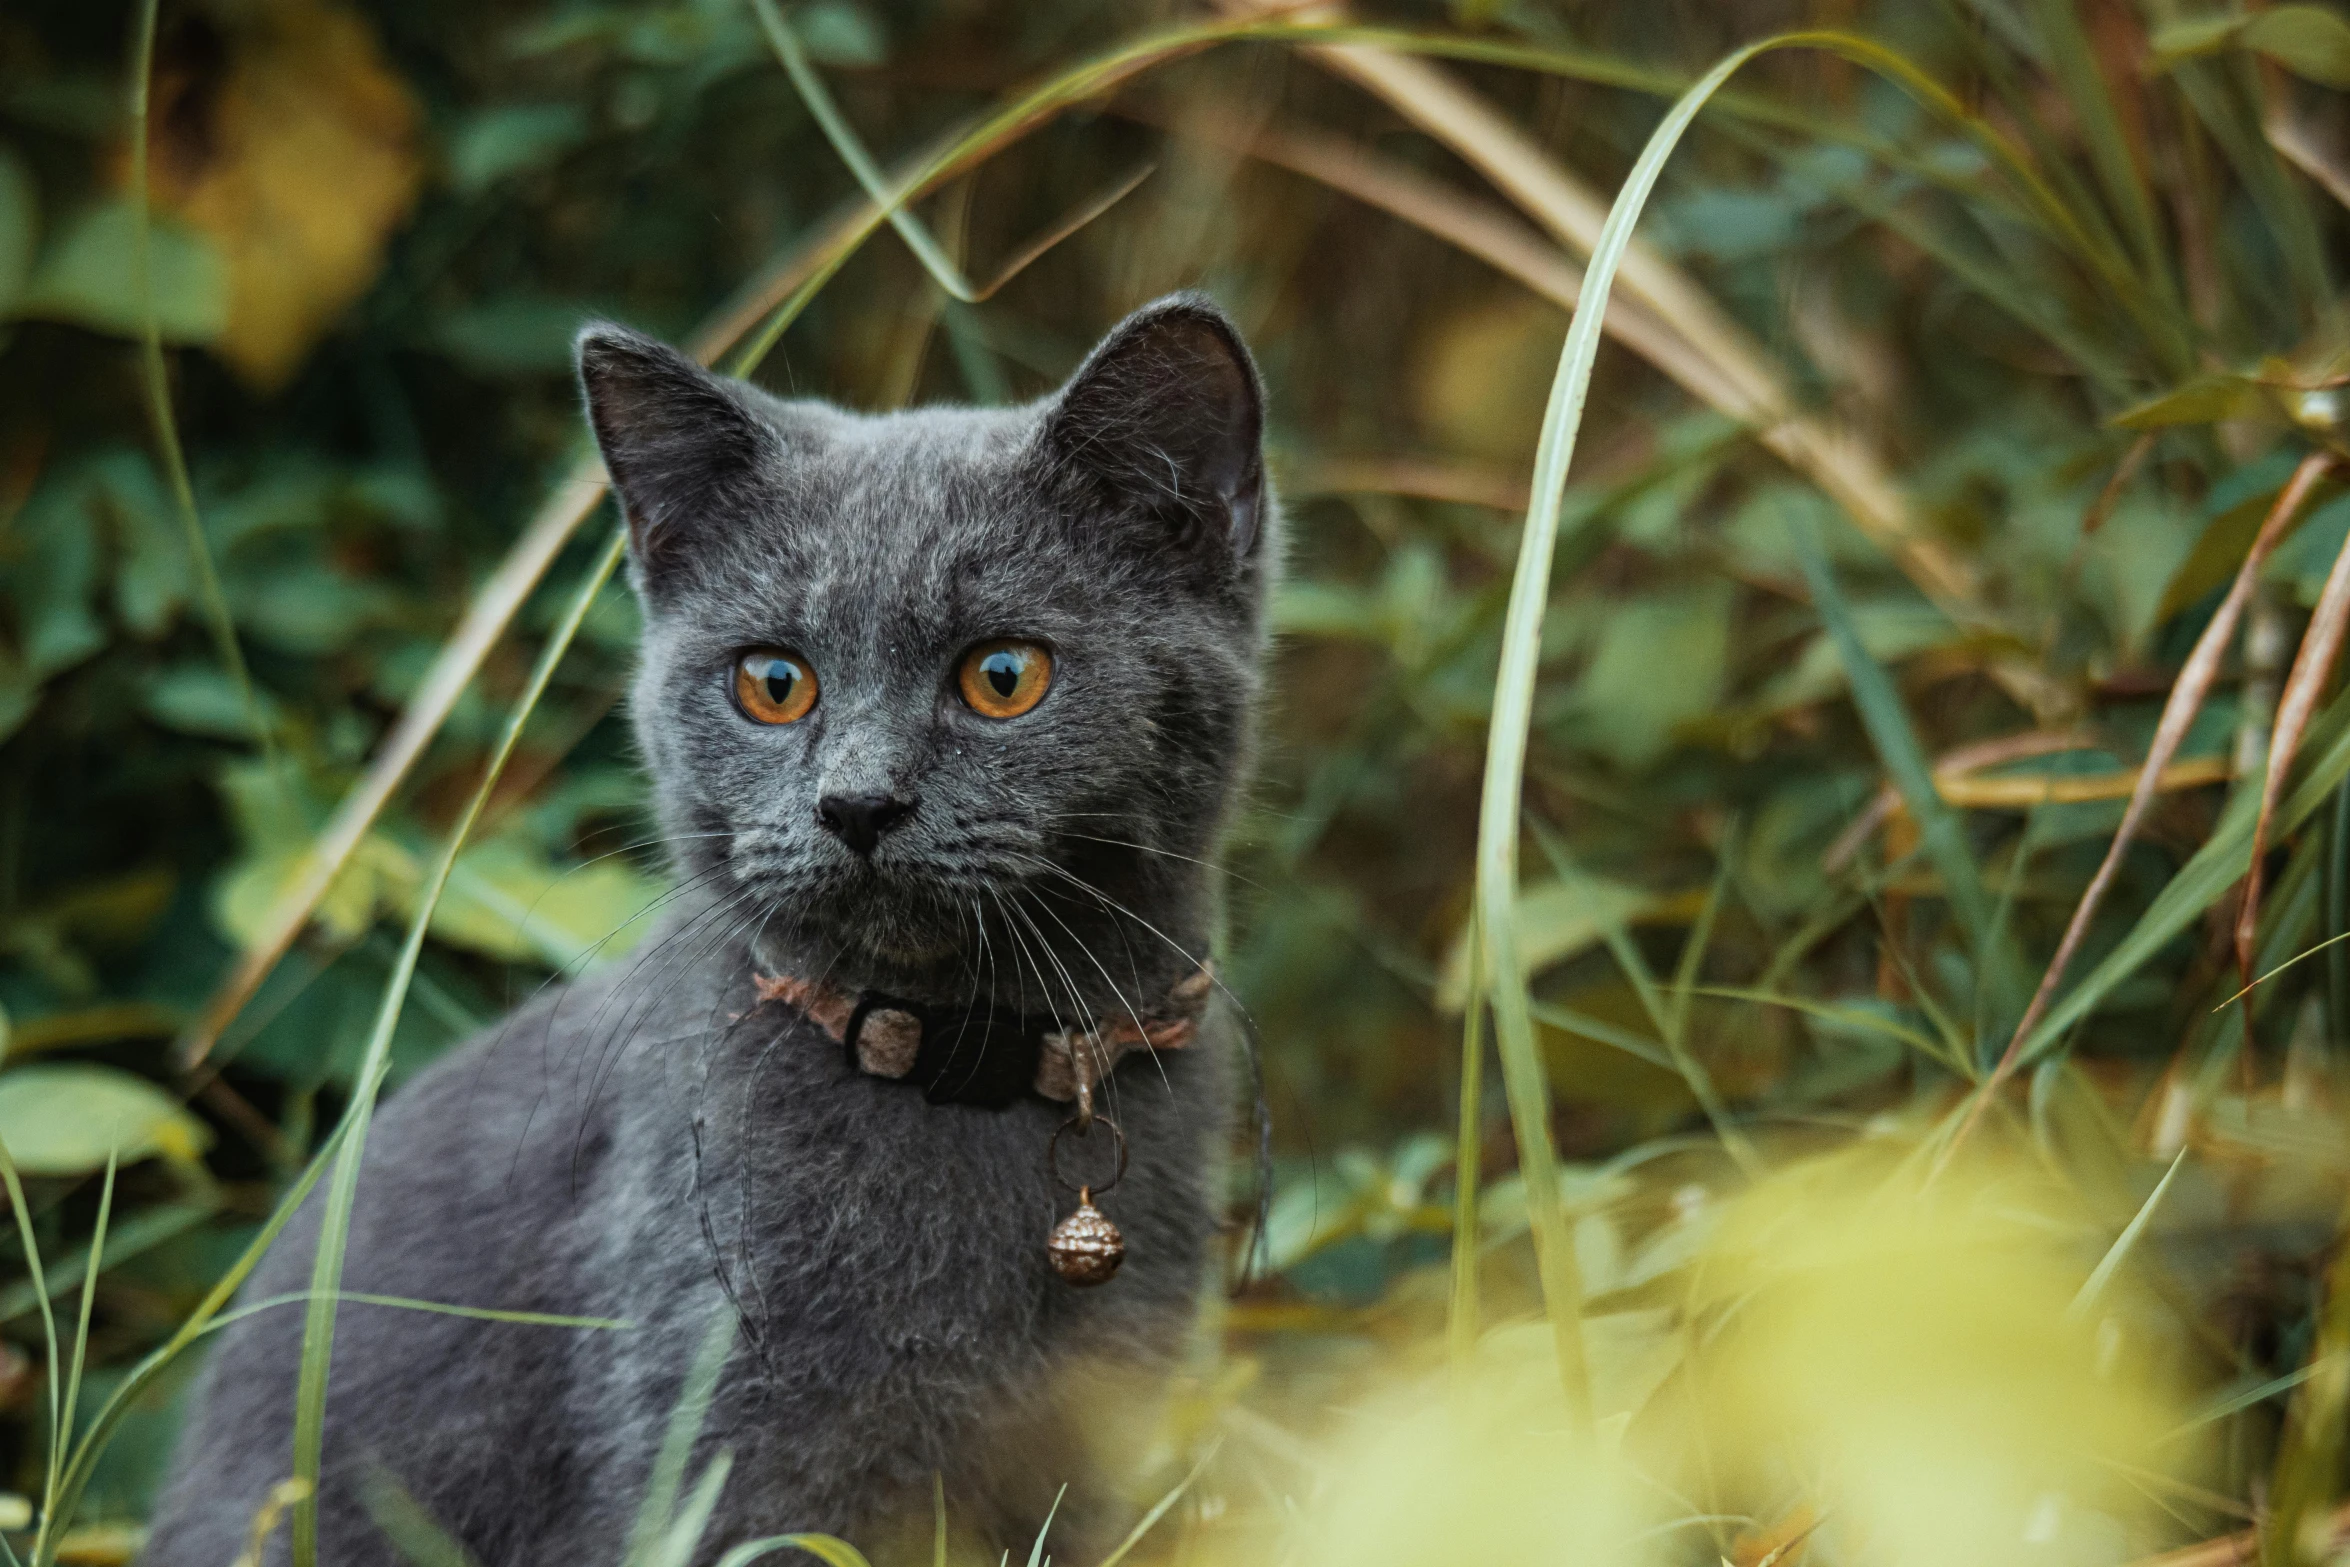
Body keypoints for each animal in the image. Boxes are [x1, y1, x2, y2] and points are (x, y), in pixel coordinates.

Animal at [137, 293, 1278, 1567]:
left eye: (1003, 673)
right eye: (773, 681)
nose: (857, 802)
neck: (963, 1064)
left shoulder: (1088, 1455)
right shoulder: (723, 1441)